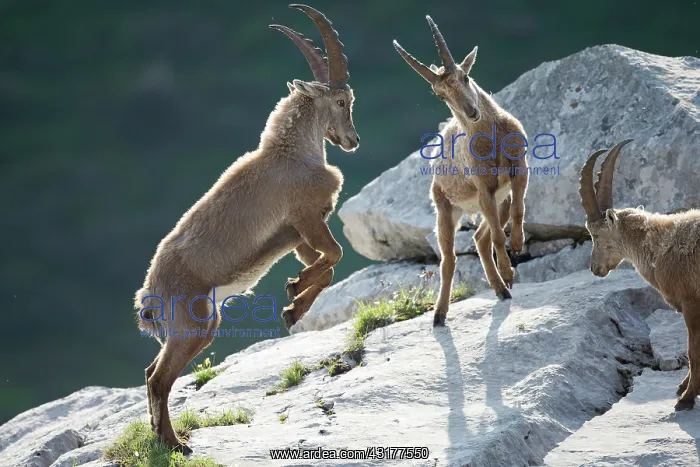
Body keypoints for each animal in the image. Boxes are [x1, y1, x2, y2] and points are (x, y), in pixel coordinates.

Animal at [133, 4, 359, 451]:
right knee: (159, 378)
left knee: (151, 372)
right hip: (193, 325)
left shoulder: (298, 235)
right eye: (343, 100)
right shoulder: (306, 217)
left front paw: (293, 306)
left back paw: (161, 437)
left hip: (191, 328)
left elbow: (328, 265)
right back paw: (176, 444)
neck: (290, 154)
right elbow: (335, 254)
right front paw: (294, 290)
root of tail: (148, 297)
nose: (353, 140)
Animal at [393, 16, 529, 326]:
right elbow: (498, 237)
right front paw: (509, 269)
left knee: (481, 238)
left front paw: (517, 245)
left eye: (465, 77)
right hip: (446, 208)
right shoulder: (483, 188)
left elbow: (518, 211)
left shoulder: (519, 171)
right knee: (450, 259)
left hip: (497, 200)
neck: (492, 140)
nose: (471, 112)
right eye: (440, 94)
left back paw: (502, 289)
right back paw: (440, 314)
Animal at [580, 139, 700, 410]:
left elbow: (693, 351)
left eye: (596, 235)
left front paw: (686, 398)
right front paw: (684, 388)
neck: (660, 246)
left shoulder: (691, 303)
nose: (595, 268)